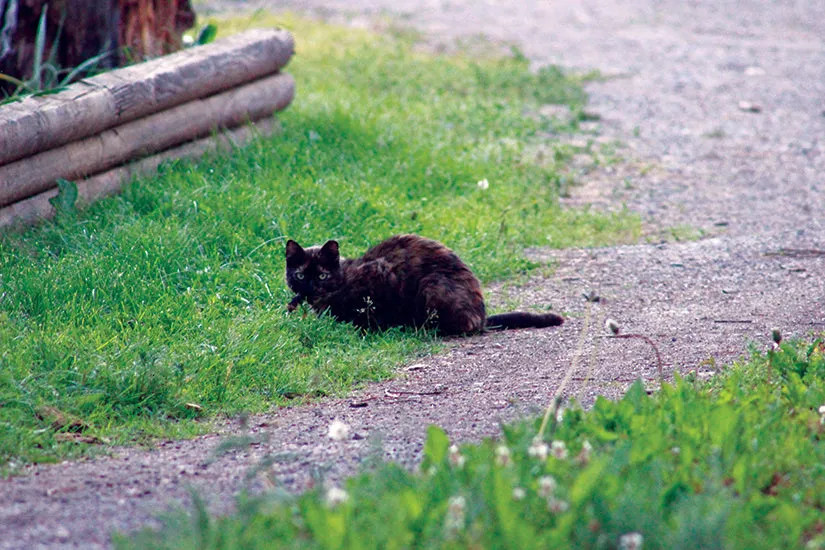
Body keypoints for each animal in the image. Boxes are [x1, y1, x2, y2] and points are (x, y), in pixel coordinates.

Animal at [286, 234, 564, 336]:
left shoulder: (382, 273)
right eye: (299, 275)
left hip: (433, 287)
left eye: (322, 276)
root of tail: (483, 316)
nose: (309, 288)